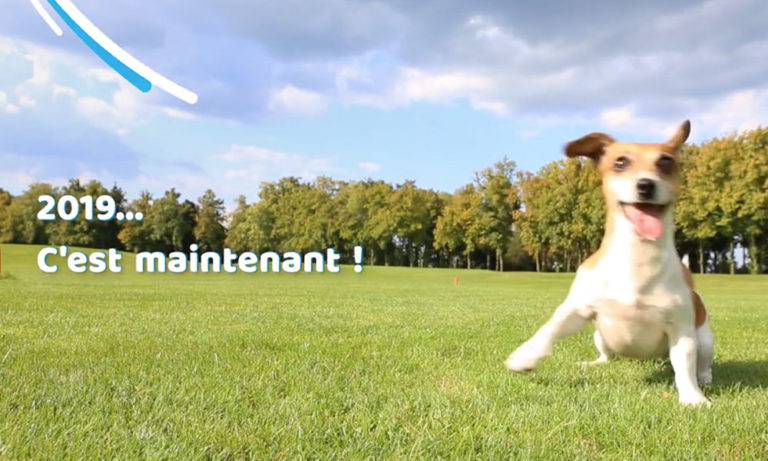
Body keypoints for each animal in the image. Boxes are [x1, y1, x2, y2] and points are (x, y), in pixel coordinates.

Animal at [504, 120, 712, 404]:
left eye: (666, 162)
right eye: (620, 162)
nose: (646, 185)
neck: (638, 258)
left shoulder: (681, 330)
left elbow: (685, 367)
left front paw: (693, 397)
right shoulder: (577, 308)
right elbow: (550, 328)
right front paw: (524, 356)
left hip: (704, 338)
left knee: (700, 363)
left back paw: (705, 377)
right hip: (599, 336)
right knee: (607, 356)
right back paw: (595, 363)